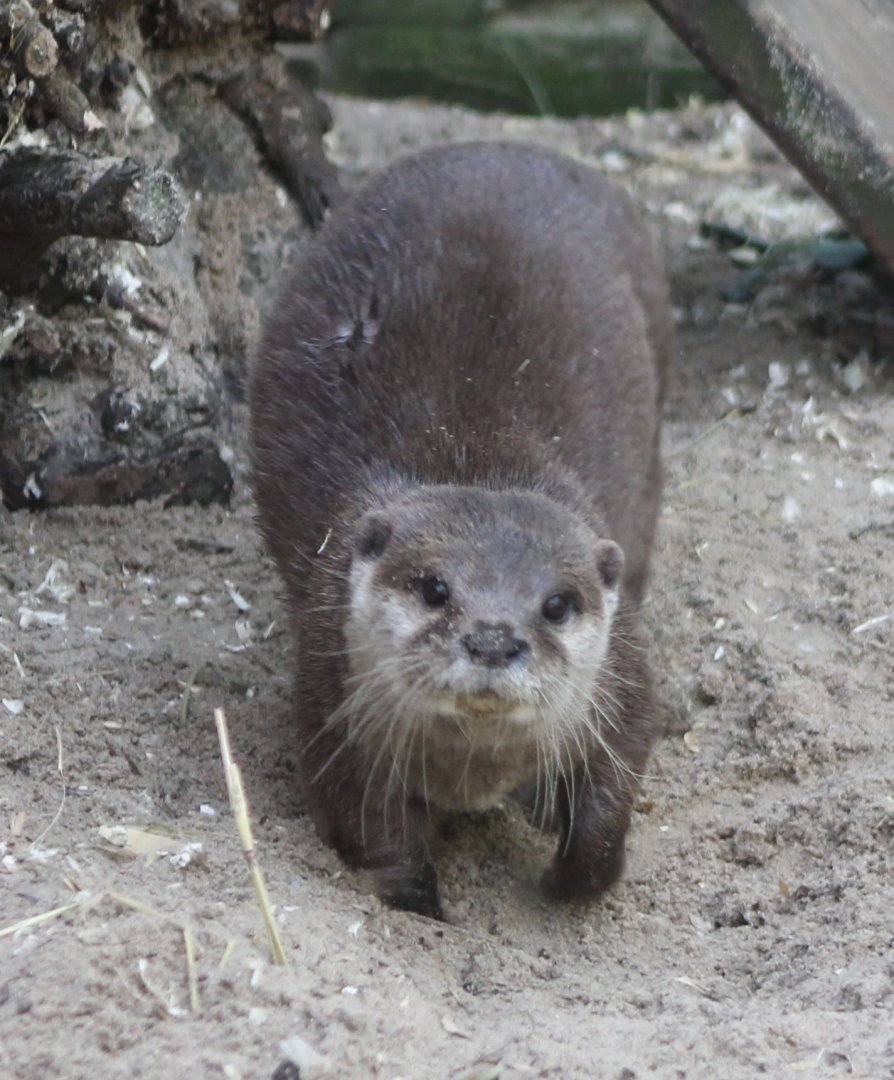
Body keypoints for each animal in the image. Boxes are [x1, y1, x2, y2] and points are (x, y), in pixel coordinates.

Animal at [249, 141, 674, 919]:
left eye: (557, 604)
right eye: (434, 588)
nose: (493, 639)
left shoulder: (625, 675)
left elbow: (617, 785)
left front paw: (570, 877)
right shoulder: (329, 693)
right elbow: (368, 830)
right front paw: (422, 901)